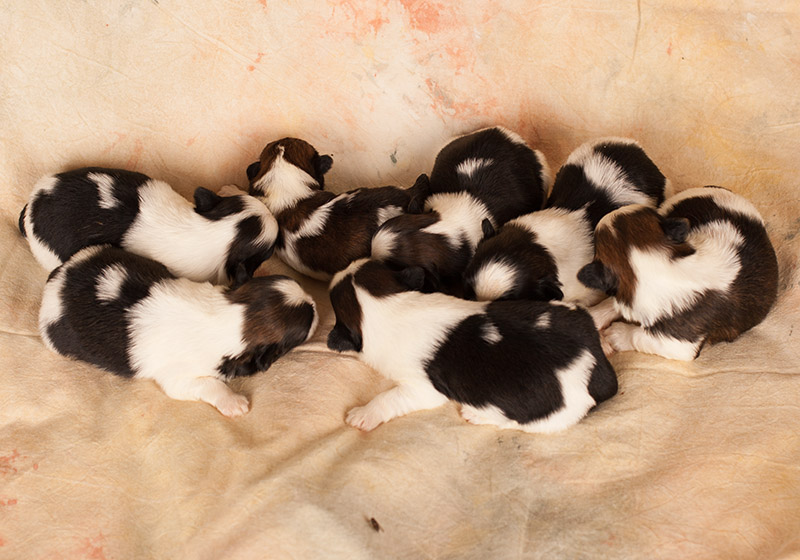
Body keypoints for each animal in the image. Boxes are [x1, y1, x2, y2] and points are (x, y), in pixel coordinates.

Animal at [39, 245, 318, 416]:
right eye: (303, 329)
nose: (315, 304)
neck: (229, 314)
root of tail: (58, 277)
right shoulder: (178, 378)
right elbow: (209, 385)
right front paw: (234, 402)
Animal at [326, 258, 617, 432]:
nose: (342, 267)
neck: (391, 305)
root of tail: (596, 364)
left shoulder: (420, 389)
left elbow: (388, 397)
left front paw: (362, 414)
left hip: (552, 413)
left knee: (518, 423)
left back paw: (478, 415)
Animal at [577, 186, 779, 360]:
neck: (665, 267)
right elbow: (613, 303)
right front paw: (594, 315)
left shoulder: (679, 342)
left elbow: (640, 336)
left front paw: (616, 334)